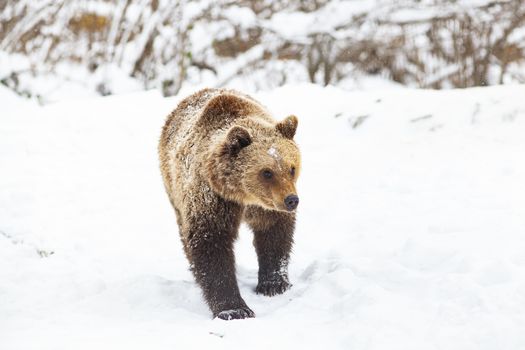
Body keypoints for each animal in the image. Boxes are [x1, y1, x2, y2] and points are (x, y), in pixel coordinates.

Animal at [158, 88, 300, 320]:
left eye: (292, 168)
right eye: (266, 172)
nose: (291, 200)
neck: (243, 195)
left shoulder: (265, 208)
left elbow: (274, 235)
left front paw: (274, 284)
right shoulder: (212, 200)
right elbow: (211, 245)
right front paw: (234, 309)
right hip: (173, 189)